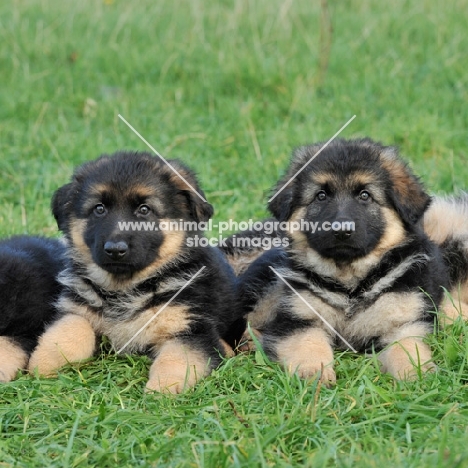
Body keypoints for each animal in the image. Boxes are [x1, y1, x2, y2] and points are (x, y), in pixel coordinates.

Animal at [29, 152, 243, 394]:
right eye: (99, 209)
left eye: (144, 209)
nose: (115, 250)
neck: (126, 287)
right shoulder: (77, 309)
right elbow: (69, 331)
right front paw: (42, 366)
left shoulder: (190, 328)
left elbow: (175, 359)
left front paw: (161, 389)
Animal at [238, 137, 450, 382]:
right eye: (321, 195)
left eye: (365, 195)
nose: (341, 230)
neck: (350, 283)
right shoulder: (299, 318)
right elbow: (308, 344)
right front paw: (315, 374)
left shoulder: (403, 323)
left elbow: (406, 348)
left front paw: (415, 377)